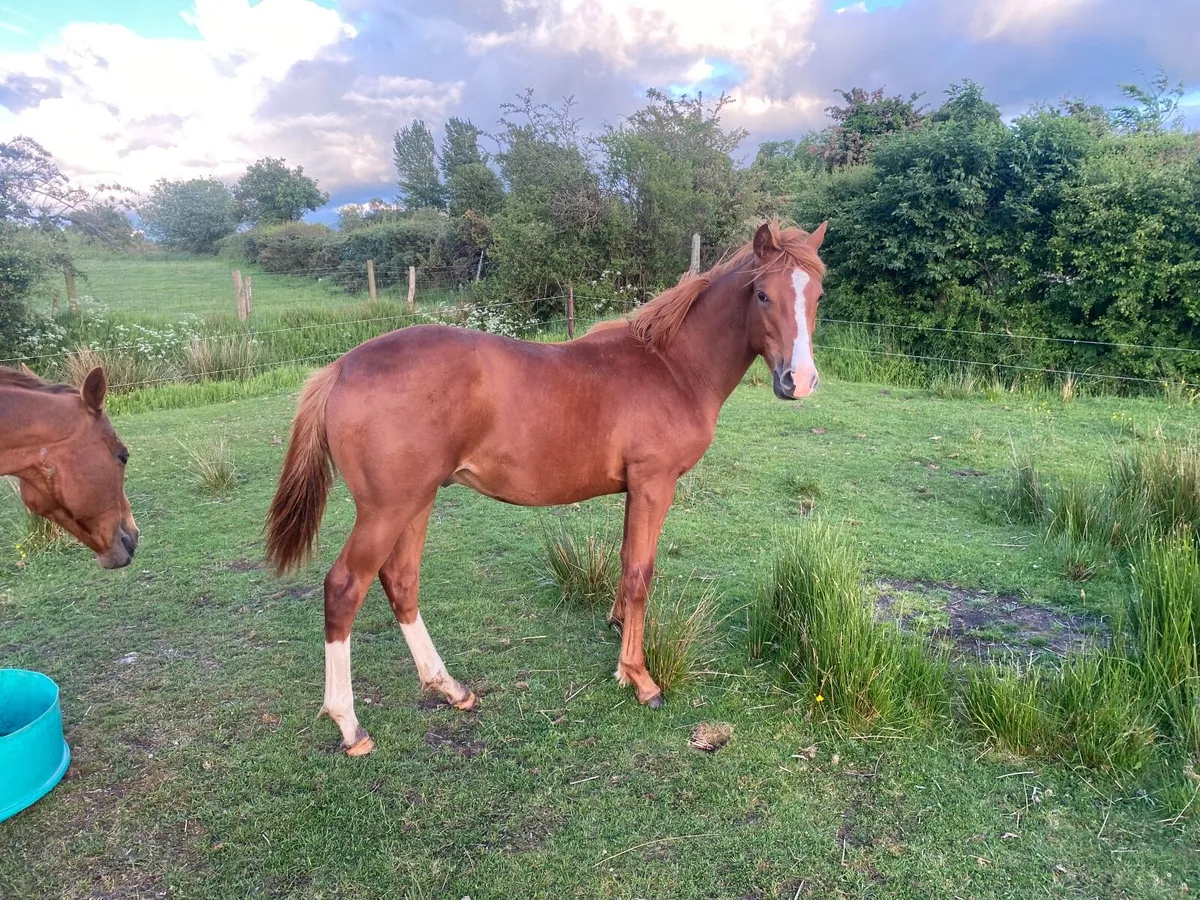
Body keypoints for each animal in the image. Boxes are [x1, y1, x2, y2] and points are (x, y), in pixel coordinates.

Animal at [266, 219, 827, 756]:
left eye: (817, 294)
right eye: (762, 295)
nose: (798, 381)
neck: (671, 367)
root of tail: (341, 368)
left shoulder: (635, 490)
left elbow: (626, 562)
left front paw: (618, 635)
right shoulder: (654, 484)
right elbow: (641, 574)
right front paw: (640, 679)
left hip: (416, 502)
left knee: (401, 581)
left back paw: (450, 688)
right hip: (386, 509)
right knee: (344, 589)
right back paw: (349, 725)